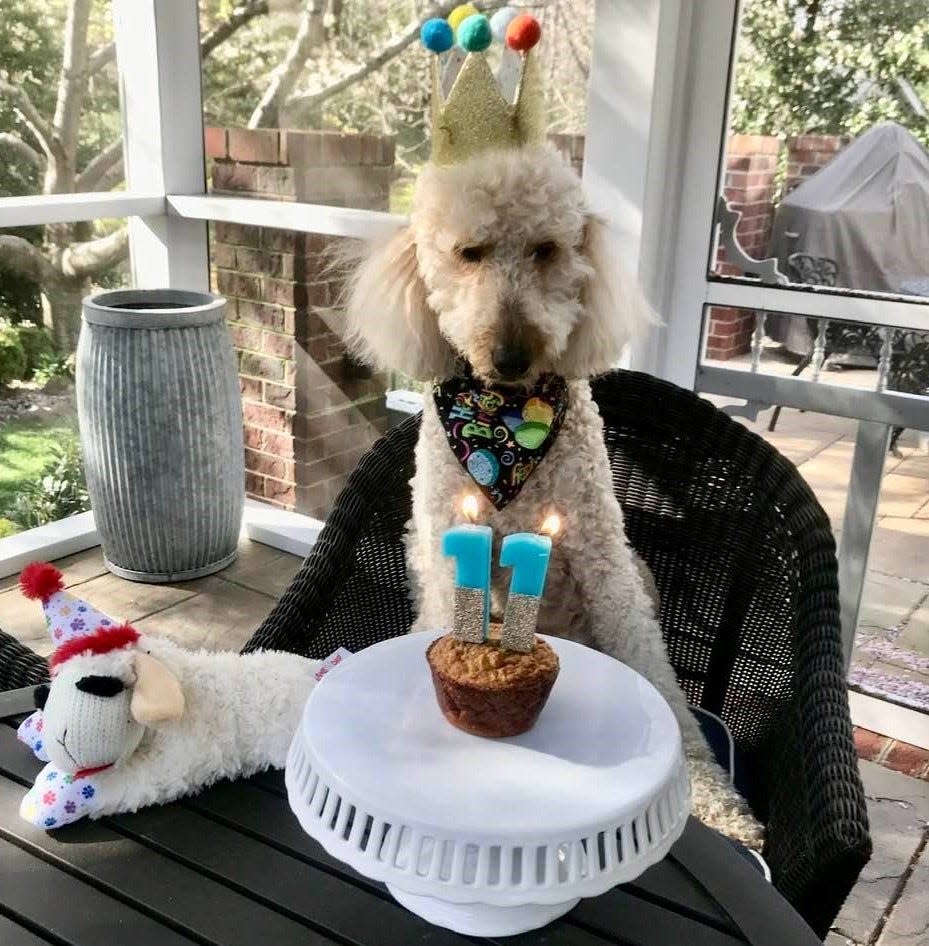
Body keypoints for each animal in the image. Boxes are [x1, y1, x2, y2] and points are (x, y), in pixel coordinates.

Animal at [344, 148, 764, 848]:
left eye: (546, 250)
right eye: (469, 252)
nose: (512, 355)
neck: (508, 424)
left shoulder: (604, 557)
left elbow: (656, 673)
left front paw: (709, 793)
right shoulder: (442, 546)